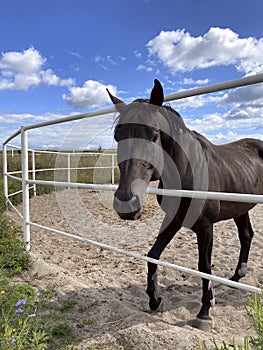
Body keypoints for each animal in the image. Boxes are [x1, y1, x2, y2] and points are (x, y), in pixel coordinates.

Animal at [106, 79, 263, 322]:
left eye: (154, 134)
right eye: (117, 135)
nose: (126, 203)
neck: (188, 172)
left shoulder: (206, 227)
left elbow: (204, 266)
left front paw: (205, 310)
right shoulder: (174, 218)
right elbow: (153, 255)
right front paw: (155, 299)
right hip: (240, 209)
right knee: (246, 236)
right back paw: (236, 277)